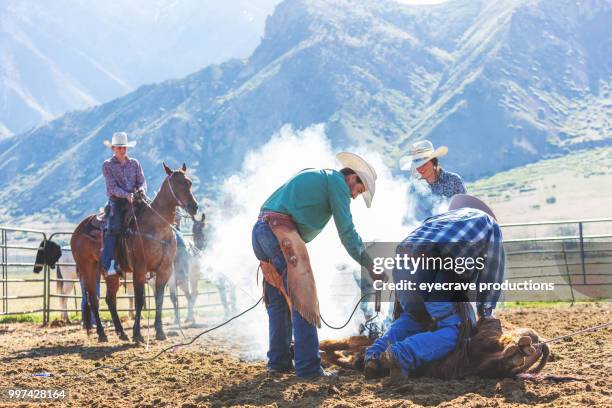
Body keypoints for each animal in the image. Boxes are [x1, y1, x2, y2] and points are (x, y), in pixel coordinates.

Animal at [70, 162, 198, 342]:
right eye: (175, 184)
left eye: (189, 183)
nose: (194, 207)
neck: (157, 229)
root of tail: (78, 230)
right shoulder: (140, 268)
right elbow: (139, 300)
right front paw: (137, 334)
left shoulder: (165, 270)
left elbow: (159, 299)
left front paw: (160, 332)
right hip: (87, 269)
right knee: (94, 299)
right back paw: (102, 334)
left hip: (109, 273)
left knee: (110, 300)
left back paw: (121, 332)